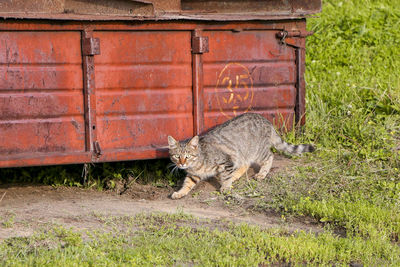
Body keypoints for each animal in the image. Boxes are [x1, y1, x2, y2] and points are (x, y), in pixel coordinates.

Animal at [167, 112, 314, 199]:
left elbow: (226, 177)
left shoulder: (226, 161)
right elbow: (187, 184)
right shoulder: (194, 175)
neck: (198, 162)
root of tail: (265, 120)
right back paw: (235, 176)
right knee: (245, 164)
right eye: (176, 156)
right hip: (243, 153)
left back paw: (261, 174)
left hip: (257, 151)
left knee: (270, 156)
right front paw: (180, 193)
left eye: (188, 156)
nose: (182, 163)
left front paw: (225, 187)